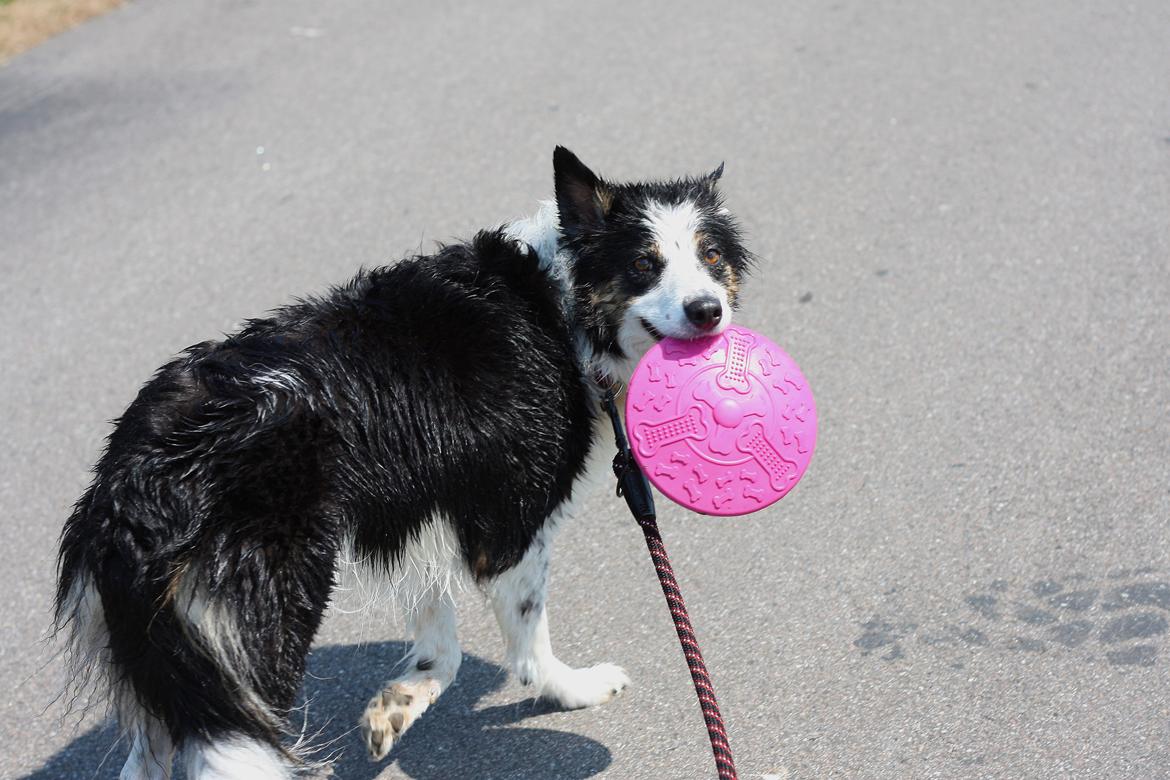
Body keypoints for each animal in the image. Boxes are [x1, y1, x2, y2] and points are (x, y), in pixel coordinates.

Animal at [52, 147, 748, 780]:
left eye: (711, 258)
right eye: (643, 264)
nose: (708, 310)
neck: (562, 309)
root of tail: (135, 480)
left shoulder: (418, 507)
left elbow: (441, 638)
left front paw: (400, 703)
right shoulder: (511, 518)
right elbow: (527, 636)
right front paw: (573, 689)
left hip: (176, 654)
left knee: (150, 751)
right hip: (263, 616)